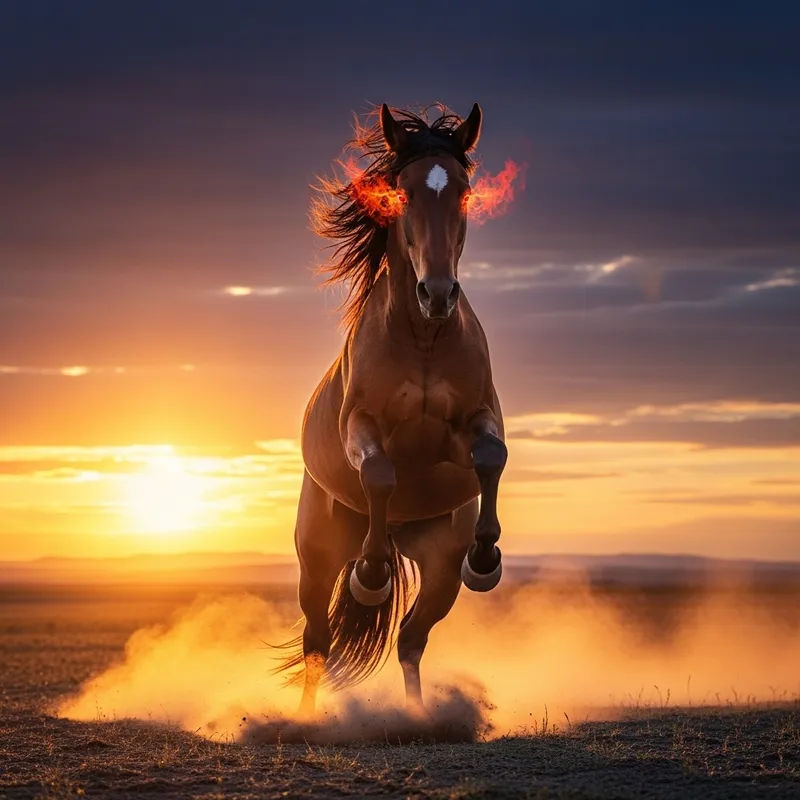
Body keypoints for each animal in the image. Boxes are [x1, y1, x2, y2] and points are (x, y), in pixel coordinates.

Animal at [276, 103, 508, 715]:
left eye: (465, 193)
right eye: (401, 191)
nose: (438, 293)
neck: (423, 337)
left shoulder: (469, 428)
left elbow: (492, 458)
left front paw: (487, 560)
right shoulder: (362, 427)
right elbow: (379, 473)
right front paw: (371, 574)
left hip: (439, 569)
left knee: (410, 639)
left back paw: (419, 716)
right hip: (317, 558)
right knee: (317, 641)